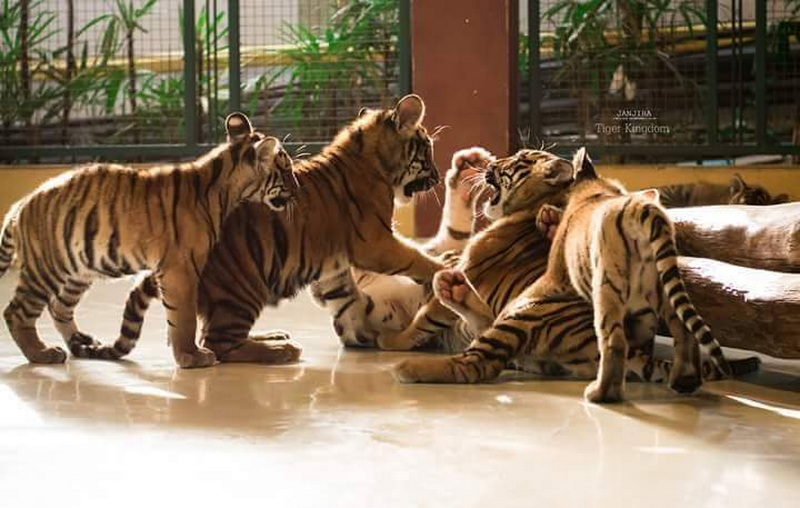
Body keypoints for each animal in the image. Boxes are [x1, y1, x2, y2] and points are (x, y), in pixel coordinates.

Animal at [0, 112, 295, 368]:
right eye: (286, 169)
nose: (297, 189)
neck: (224, 189)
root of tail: (21, 204)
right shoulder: (181, 268)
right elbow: (184, 317)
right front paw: (192, 357)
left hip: (79, 270)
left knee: (59, 306)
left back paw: (79, 341)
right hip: (46, 268)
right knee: (17, 311)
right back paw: (42, 353)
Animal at [101, 94, 445, 363]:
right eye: (427, 148)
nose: (438, 177)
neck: (374, 163)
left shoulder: (335, 262)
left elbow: (345, 296)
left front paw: (360, 332)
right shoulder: (374, 243)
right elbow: (414, 257)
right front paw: (440, 271)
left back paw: (274, 337)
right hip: (244, 287)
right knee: (218, 343)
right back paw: (280, 351)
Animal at [393, 148, 734, 403]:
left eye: (517, 160)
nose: (490, 163)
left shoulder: (472, 268)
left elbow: (424, 317)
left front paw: (396, 340)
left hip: (525, 310)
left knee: (480, 362)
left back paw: (409, 366)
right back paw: (452, 289)